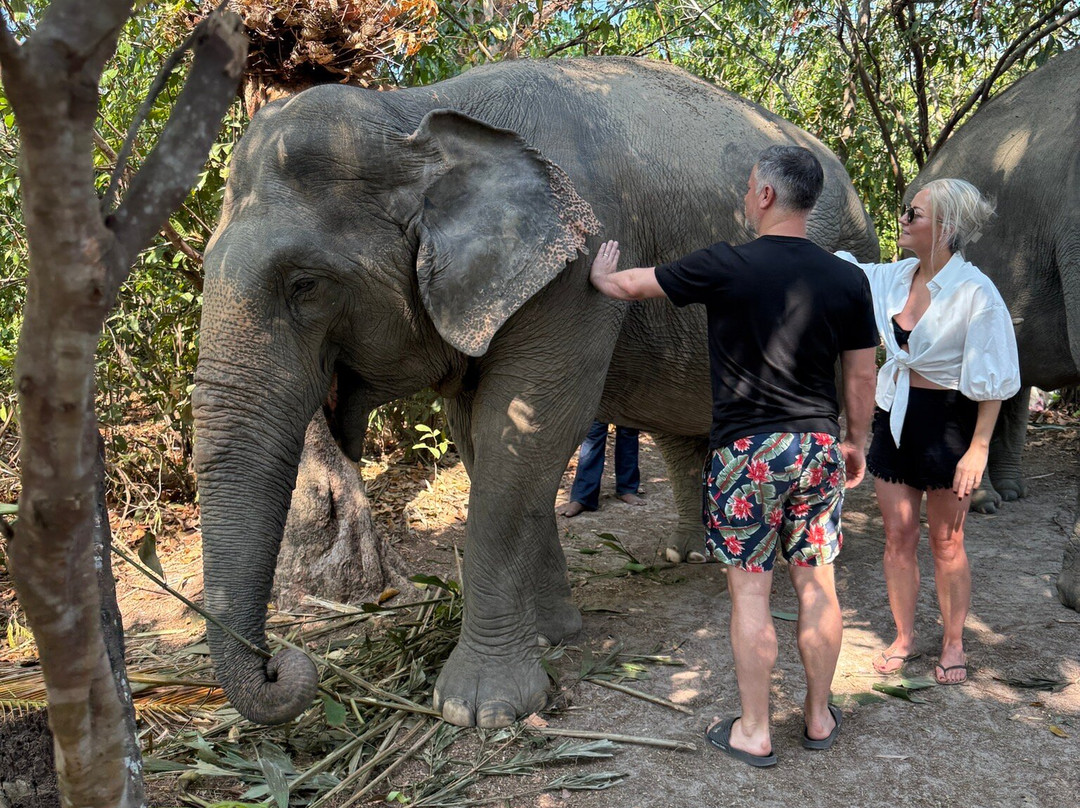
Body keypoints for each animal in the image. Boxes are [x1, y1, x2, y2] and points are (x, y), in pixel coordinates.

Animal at [193, 56, 878, 728]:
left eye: (305, 285)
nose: (284, 663)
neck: (411, 111)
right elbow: (485, 437)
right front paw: (553, 634)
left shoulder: (574, 269)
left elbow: (528, 431)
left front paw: (478, 708)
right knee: (680, 431)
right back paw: (692, 556)